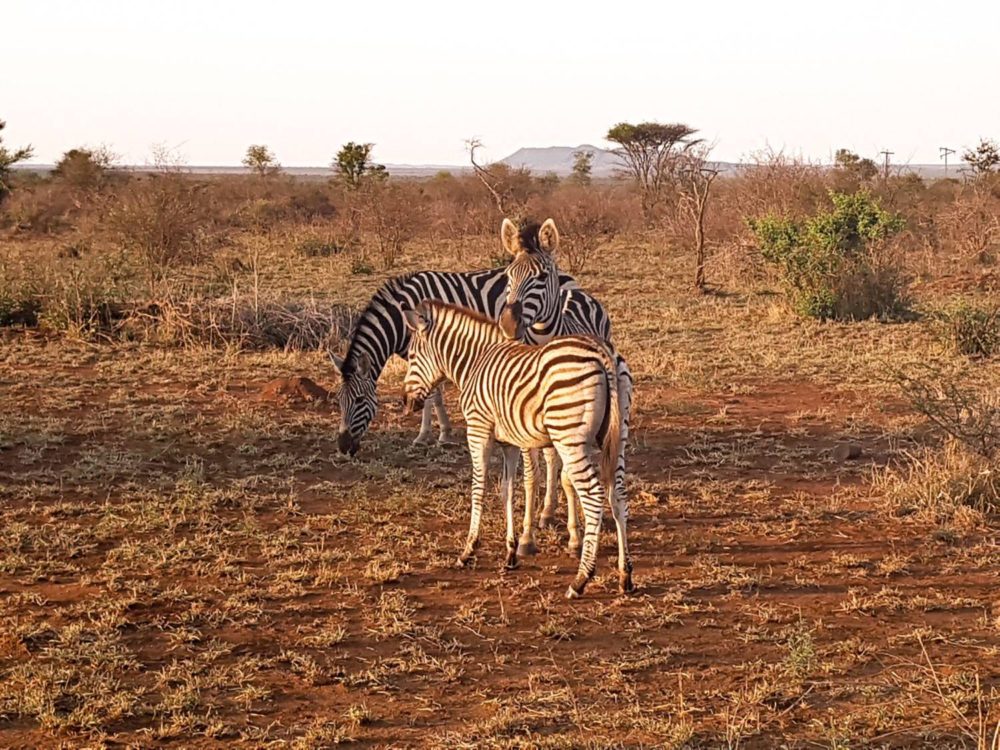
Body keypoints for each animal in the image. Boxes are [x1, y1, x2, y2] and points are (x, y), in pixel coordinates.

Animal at [401, 300, 633, 598]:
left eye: (412, 355)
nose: (406, 401)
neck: (474, 363)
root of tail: (603, 352)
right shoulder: (509, 442)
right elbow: (507, 490)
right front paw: (511, 552)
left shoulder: (478, 429)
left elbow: (479, 489)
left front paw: (469, 550)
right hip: (617, 436)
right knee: (618, 496)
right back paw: (625, 576)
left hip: (569, 437)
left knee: (593, 496)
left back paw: (581, 579)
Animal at [495, 218, 634, 561]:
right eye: (508, 276)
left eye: (541, 277)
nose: (508, 324)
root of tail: (574, 292)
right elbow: (532, 477)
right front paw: (528, 535)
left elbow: (569, 477)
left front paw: (576, 535)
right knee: (551, 460)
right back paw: (547, 512)